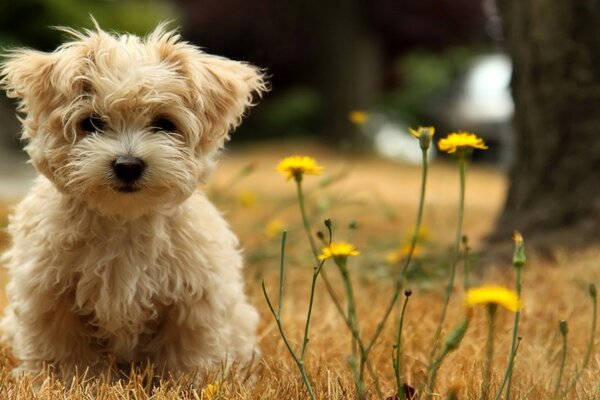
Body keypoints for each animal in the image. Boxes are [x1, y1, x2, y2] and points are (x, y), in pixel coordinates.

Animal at [0, 22, 266, 378]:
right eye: (92, 122)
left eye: (164, 123)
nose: (128, 165)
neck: (122, 219)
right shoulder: (48, 292)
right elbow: (63, 348)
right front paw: (67, 380)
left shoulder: (194, 296)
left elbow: (187, 350)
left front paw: (188, 382)